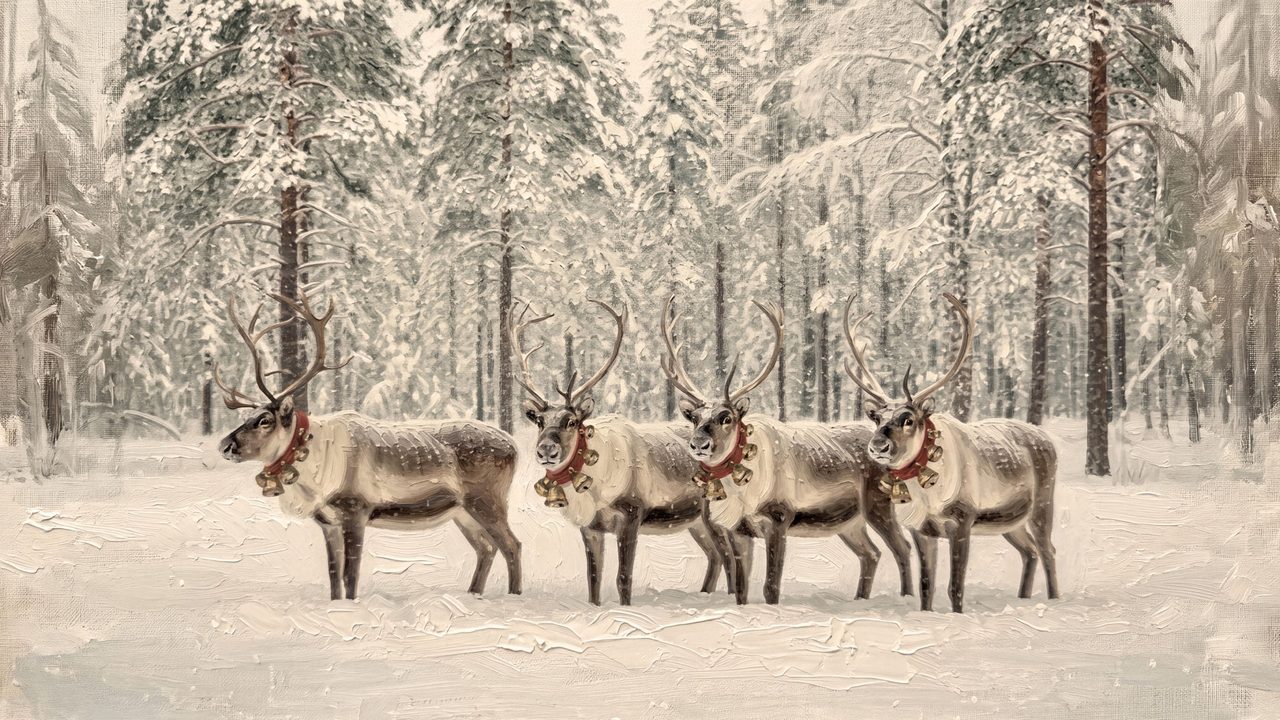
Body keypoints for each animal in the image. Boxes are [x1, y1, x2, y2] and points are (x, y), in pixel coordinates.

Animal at [215, 291, 522, 601]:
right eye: (246, 416)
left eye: (265, 420)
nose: (224, 445)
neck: (316, 471)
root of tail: (514, 445)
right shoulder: (328, 522)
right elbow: (333, 575)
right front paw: (336, 605)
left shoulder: (356, 510)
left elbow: (350, 575)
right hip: (462, 512)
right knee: (486, 547)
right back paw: (473, 594)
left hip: (486, 500)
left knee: (512, 544)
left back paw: (514, 595)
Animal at [510, 298, 730, 606]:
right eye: (540, 421)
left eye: (571, 421)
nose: (546, 450)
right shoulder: (591, 526)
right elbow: (594, 578)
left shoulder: (631, 514)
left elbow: (623, 577)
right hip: (695, 521)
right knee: (715, 557)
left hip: (711, 513)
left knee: (728, 556)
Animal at [661, 296, 914, 605]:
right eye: (695, 418)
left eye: (726, 417)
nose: (699, 444)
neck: (745, 492)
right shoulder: (739, 529)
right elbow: (742, 588)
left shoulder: (779, 519)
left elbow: (771, 586)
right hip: (849, 522)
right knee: (872, 553)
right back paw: (860, 599)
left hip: (879, 504)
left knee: (902, 548)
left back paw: (908, 598)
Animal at [841, 292, 1059, 613]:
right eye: (877, 418)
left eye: (909, 418)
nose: (878, 446)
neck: (928, 495)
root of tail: (1046, 439)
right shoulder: (921, 529)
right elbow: (926, 585)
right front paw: (926, 613)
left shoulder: (962, 521)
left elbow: (955, 586)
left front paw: (956, 614)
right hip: (1010, 521)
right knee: (1029, 551)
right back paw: (1023, 597)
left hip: (1042, 504)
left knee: (1048, 549)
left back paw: (1054, 599)